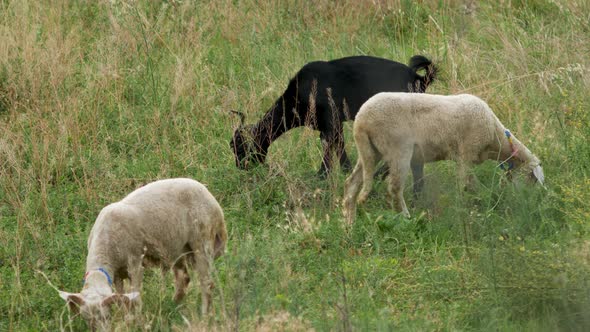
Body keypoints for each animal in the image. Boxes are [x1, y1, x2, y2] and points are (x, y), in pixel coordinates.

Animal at [57, 178, 228, 328]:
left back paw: (204, 316)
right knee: (183, 279)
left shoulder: (135, 263)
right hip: (177, 248)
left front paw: (136, 321)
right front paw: (126, 318)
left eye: (106, 316)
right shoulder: (118, 273)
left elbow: (135, 297)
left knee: (207, 283)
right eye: (85, 319)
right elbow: (122, 298)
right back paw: (173, 306)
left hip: (202, 240)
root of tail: (214, 202)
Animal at [231, 54, 440, 176]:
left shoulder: (331, 121)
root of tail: (418, 78)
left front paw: (323, 175)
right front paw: (340, 171)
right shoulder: (330, 124)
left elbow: (330, 145)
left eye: (240, 148)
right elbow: (336, 145)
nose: (241, 167)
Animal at [344, 93, 548, 223]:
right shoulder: (466, 154)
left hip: (370, 151)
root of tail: (361, 121)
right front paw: (467, 209)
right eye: (533, 179)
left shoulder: (464, 157)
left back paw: (348, 223)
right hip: (398, 149)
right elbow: (465, 184)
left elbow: (471, 184)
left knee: (351, 183)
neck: (496, 137)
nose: (530, 202)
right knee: (394, 188)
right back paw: (406, 217)